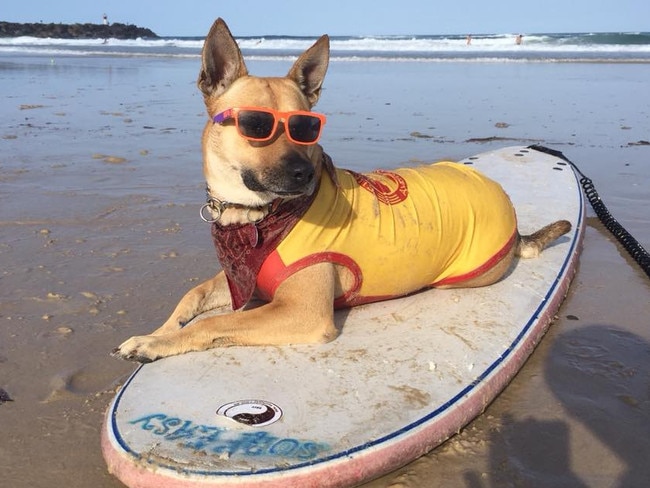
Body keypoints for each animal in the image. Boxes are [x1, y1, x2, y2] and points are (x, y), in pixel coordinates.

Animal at [111, 18, 568, 362]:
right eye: (257, 125)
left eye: (307, 127)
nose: (303, 174)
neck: (258, 216)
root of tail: (506, 206)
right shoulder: (244, 280)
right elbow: (194, 295)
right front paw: (159, 331)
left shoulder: (303, 311)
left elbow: (214, 322)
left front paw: (158, 342)